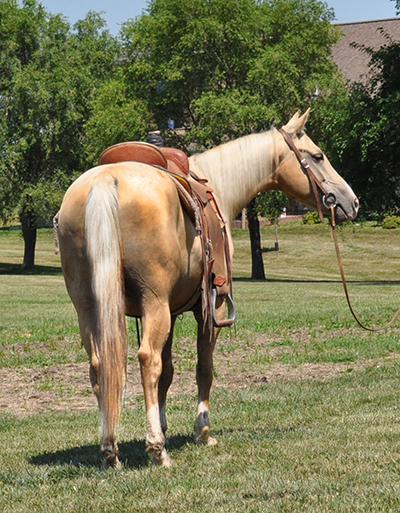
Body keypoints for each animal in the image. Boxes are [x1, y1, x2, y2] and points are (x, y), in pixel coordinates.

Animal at [57, 112, 360, 468]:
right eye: (318, 156)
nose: (351, 202)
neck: (217, 186)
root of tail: (105, 182)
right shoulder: (209, 306)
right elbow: (203, 368)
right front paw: (201, 431)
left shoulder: (172, 311)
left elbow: (169, 372)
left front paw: (164, 425)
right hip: (152, 301)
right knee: (147, 359)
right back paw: (157, 450)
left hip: (89, 306)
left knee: (100, 364)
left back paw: (109, 451)